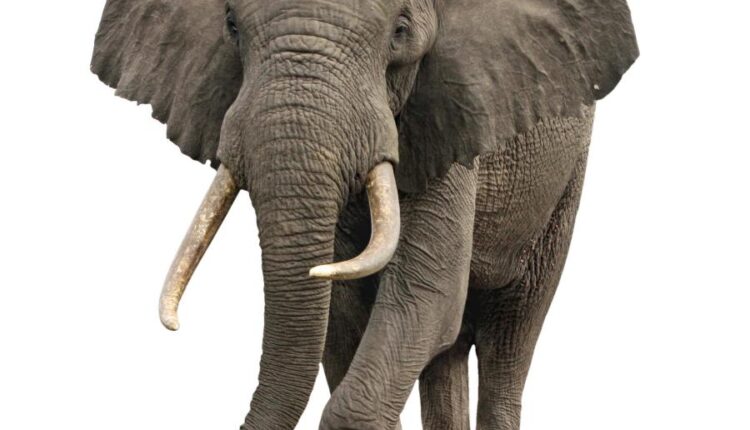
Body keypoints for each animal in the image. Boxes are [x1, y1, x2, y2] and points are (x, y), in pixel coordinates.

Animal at [91, 0, 638, 428]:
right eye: (230, 24)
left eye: (400, 31)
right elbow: (343, 315)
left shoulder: (448, 118)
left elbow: (428, 292)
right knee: (447, 353)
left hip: (563, 182)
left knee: (509, 338)